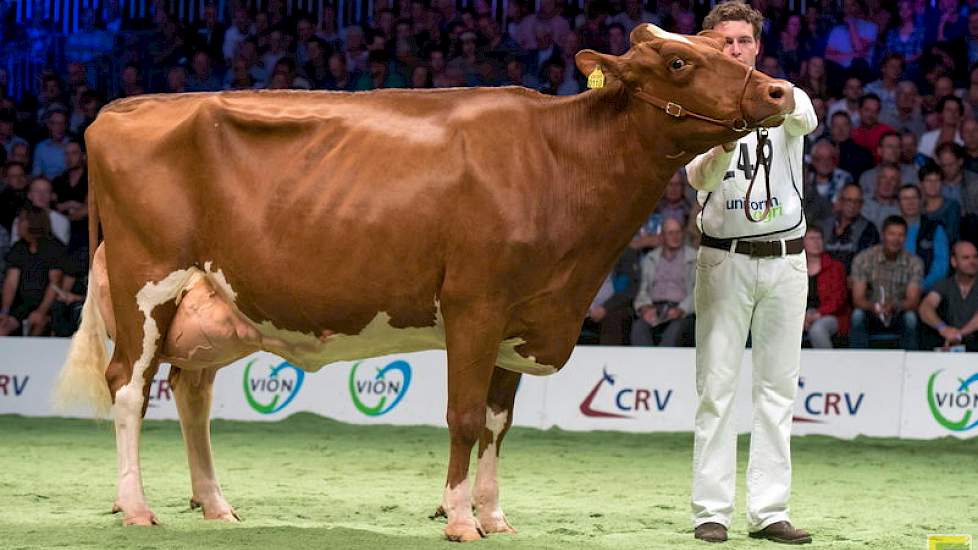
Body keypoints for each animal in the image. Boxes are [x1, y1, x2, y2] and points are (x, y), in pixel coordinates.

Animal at [55, 22, 792, 544]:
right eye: (679, 63)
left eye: (720, 46)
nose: (780, 92)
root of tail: (120, 108)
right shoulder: (474, 305)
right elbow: (463, 417)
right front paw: (461, 520)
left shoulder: (522, 319)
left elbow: (497, 422)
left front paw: (495, 518)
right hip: (147, 282)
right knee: (128, 388)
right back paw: (136, 507)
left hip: (208, 303)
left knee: (191, 394)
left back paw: (215, 506)